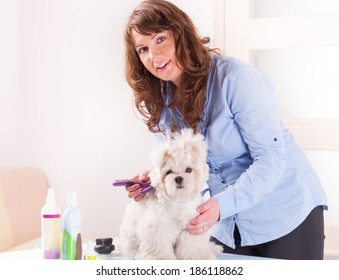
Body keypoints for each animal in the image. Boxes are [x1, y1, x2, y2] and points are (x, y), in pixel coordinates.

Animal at [119, 128, 223, 260]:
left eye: (189, 170)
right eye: (169, 172)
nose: (178, 178)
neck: (179, 200)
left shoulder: (193, 227)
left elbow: (192, 246)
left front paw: (198, 256)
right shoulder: (157, 228)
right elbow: (158, 246)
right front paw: (160, 257)